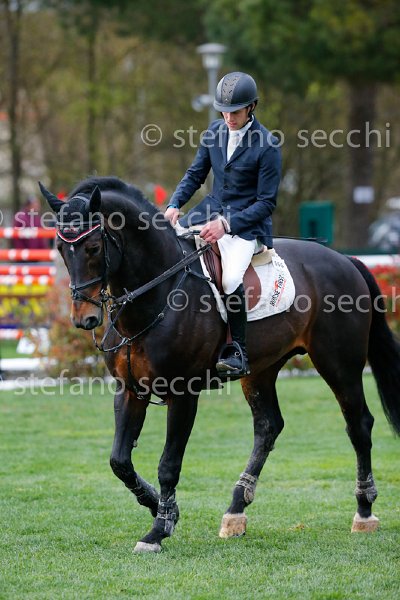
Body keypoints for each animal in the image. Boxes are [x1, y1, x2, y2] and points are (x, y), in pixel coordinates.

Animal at [40, 176, 400, 553]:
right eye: (61, 249)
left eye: (94, 247)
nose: (84, 318)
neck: (156, 292)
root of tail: (346, 260)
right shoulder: (130, 391)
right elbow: (119, 461)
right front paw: (159, 507)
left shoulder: (183, 394)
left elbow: (169, 464)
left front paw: (159, 529)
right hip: (260, 370)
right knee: (268, 427)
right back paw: (235, 511)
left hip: (339, 364)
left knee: (359, 425)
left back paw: (364, 511)